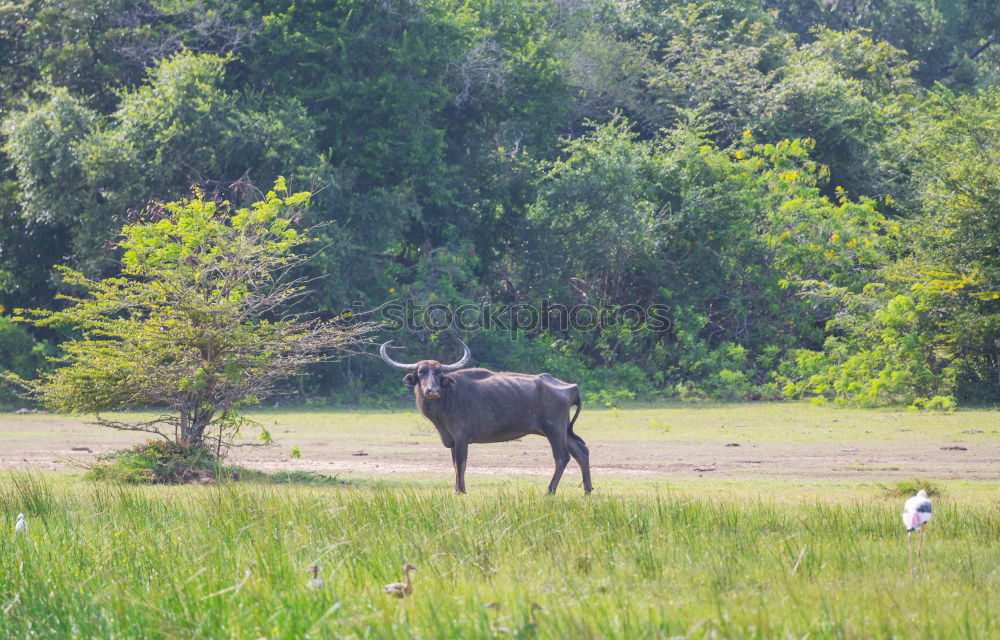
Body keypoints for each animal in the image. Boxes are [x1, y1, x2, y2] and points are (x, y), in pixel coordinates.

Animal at [378, 340, 588, 496]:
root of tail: (572, 387)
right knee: (581, 451)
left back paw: (550, 491)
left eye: (439, 373)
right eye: (421, 372)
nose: (432, 390)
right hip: (563, 430)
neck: (447, 398)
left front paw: (459, 491)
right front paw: (458, 489)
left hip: (555, 430)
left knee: (562, 457)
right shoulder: (451, 439)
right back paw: (587, 490)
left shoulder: (462, 438)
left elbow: (461, 463)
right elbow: (454, 464)